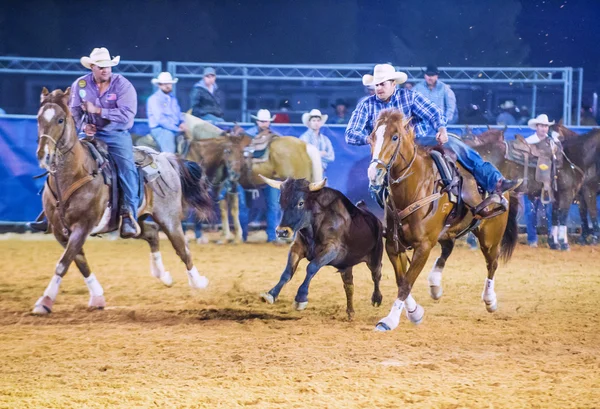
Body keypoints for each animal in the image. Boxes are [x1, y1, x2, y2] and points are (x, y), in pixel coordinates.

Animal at [33, 87, 213, 314]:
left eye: (60, 120)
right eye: (39, 118)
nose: (44, 155)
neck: (74, 175)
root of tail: (165, 158)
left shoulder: (82, 227)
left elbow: (63, 263)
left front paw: (45, 301)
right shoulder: (60, 231)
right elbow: (78, 262)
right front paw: (97, 297)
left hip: (169, 218)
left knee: (183, 249)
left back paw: (198, 282)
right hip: (134, 222)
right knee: (151, 233)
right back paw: (162, 275)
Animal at [366, 111, 516, 332]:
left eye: (394, 137)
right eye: (371, 137)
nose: (373, 173)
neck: (416, 187)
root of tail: (501, 182)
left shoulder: (424, 246)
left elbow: (406, 283)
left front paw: (390, 320)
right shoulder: (393, 245)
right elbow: (401, 279)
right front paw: (414, 312)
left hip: (490, 236)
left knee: (492, 262)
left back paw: (490, 300)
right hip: (448, 231)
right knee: (448, 248)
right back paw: (435, 284)